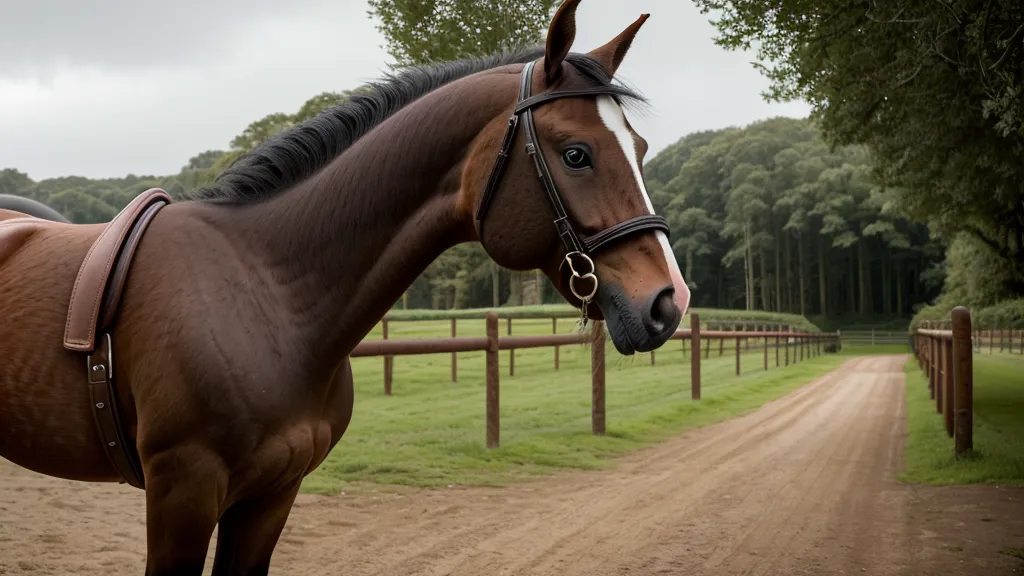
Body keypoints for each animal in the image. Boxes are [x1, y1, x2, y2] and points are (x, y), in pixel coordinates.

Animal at [0, 1, 690, 573]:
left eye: (640, 147)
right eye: (576, 154)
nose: (668, 303)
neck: (270, 295)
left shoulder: (271, 497)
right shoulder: (182, 494)